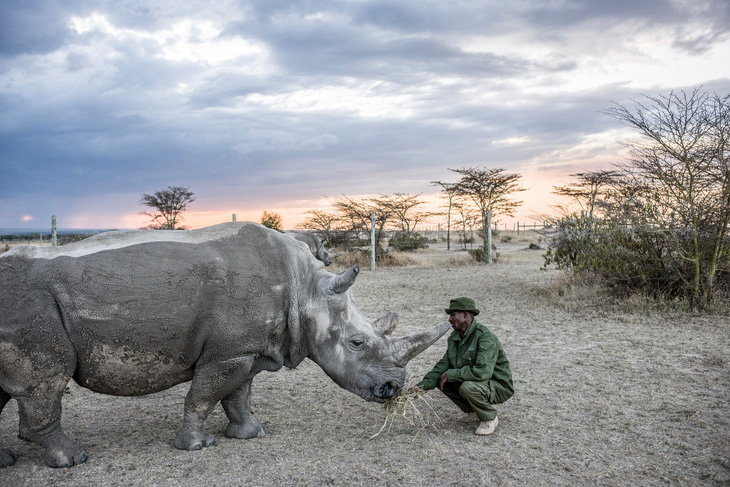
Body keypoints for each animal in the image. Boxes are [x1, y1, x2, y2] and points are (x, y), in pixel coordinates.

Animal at [0, 224, 450, 468]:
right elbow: (202, 396)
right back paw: (73, 460)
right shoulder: (227, 353)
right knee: (46, 382)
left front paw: (250, 434)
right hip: (30, 304)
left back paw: (9, 462)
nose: (392, 390)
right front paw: (197, 447)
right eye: (357, 343)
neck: (306, 290)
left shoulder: (246, 348)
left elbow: (238, 395)